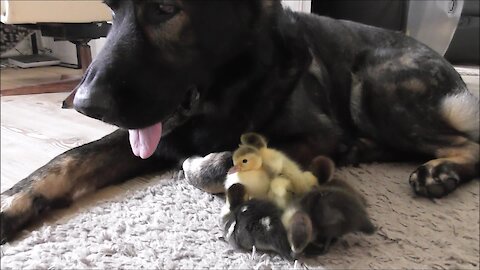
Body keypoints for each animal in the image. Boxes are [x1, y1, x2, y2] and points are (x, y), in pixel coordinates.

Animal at [0, 0, 478, 244]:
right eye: (110, 9)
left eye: (166, 8)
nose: (83, 104)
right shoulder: (151, 132)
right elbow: (69, 158)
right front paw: (10, 203)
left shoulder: (316, 135)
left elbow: (224, 162)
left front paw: (204, 164)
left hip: (376, 86)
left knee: (467, 142)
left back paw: (440, 172)